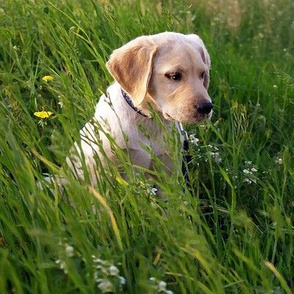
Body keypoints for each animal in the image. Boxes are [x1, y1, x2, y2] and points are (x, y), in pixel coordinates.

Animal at [65, 32, 212, 186]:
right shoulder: (101, 169)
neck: (149, 120)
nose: (207, 107)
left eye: (202, 74)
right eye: (174, 76)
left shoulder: (169, 172)